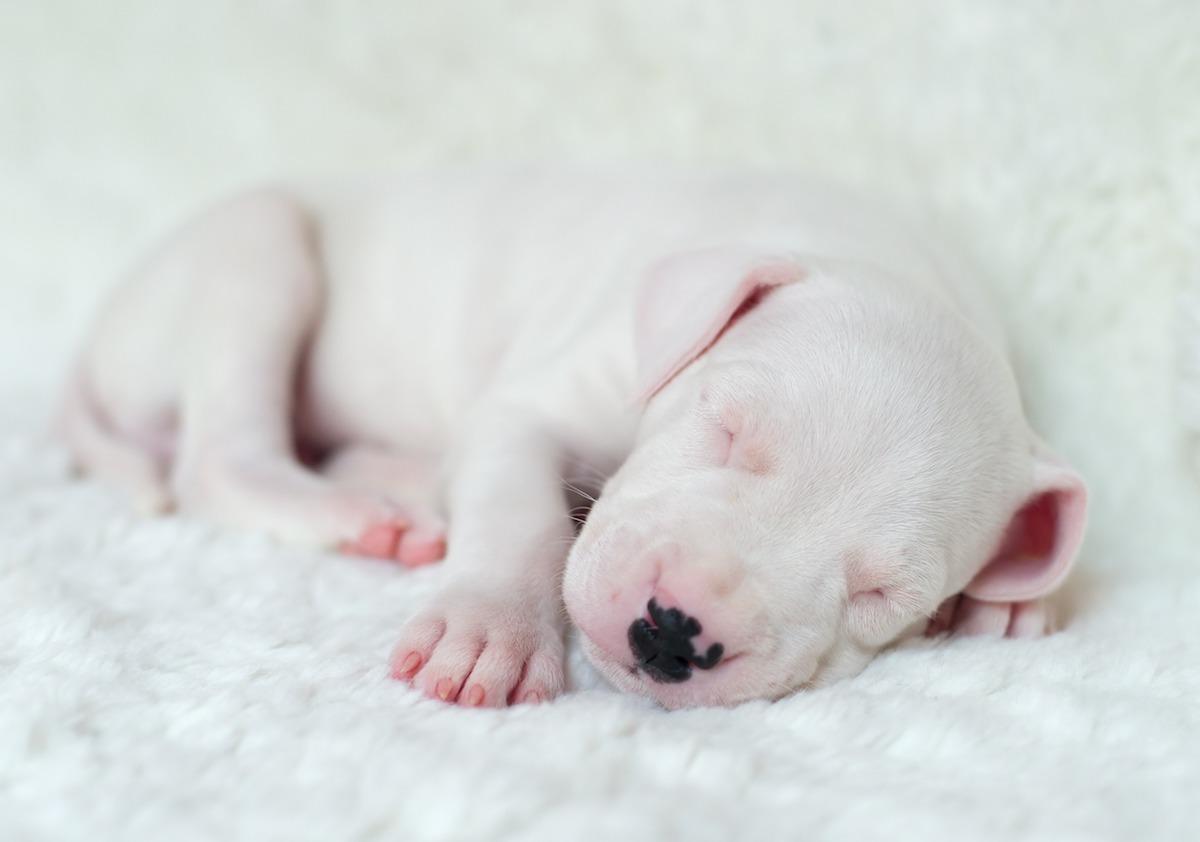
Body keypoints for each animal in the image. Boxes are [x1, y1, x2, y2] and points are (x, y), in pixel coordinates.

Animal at [58, 171, 1089, 710]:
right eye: (725, 429)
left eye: (883, 596)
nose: (673, 632)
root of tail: (95, 339)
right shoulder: (543, 396)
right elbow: (521, 518)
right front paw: (488, 634)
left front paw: (1011, 606)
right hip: (257, 249)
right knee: (215, 463)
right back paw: (348, 511)